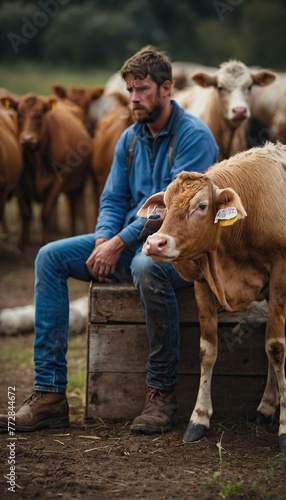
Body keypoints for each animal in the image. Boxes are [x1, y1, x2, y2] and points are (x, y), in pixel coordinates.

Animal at [0, 93, 92, 249]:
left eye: (39, 116)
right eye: (19, 114)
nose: (27, 139)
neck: (36, 160)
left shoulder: (58, 181)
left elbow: (46, 213)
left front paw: (45, 241)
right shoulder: (18, 184)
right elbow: (26, 213)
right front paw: (20, 245)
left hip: (77, 186)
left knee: (73, 210)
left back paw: (72, 234)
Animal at [139, 142, 286, 454]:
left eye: (202, 206)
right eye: (166, 205)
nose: (155, 243)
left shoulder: (281, 273)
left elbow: (276, 347)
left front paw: (285, 429)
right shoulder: (203, 281)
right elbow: (208, 349)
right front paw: (199, 418)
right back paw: (267, 405)